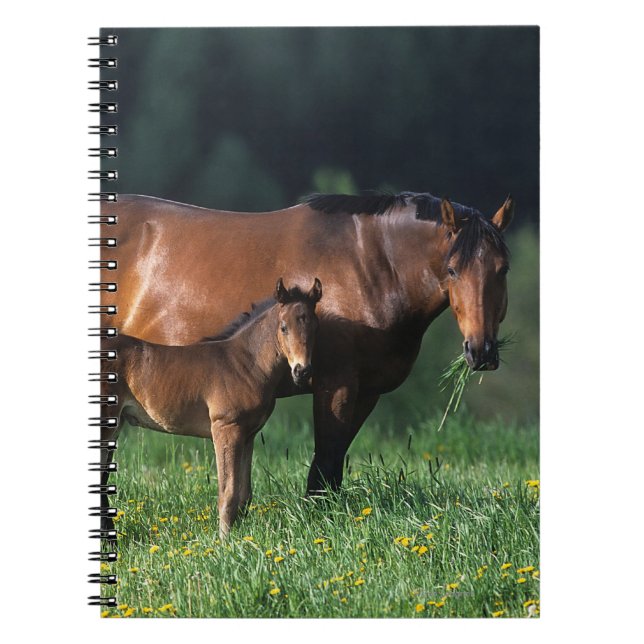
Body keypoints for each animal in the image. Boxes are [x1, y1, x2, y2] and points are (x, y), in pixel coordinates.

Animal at [101, 190, 513, 494]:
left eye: (503, 269)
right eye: (452, 270)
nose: (481, 351)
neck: (371, 264)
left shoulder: (366, 391)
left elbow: (332, 466)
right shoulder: (335, 385)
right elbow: (324, 464)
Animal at [102, 278, 322, 537]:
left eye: (315, 326)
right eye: (284, 327)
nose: (302, 371)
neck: (246, 363)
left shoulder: (248, 435)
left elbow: (244, 494)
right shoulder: (225, 429)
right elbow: (228, 493)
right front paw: (224, 541)